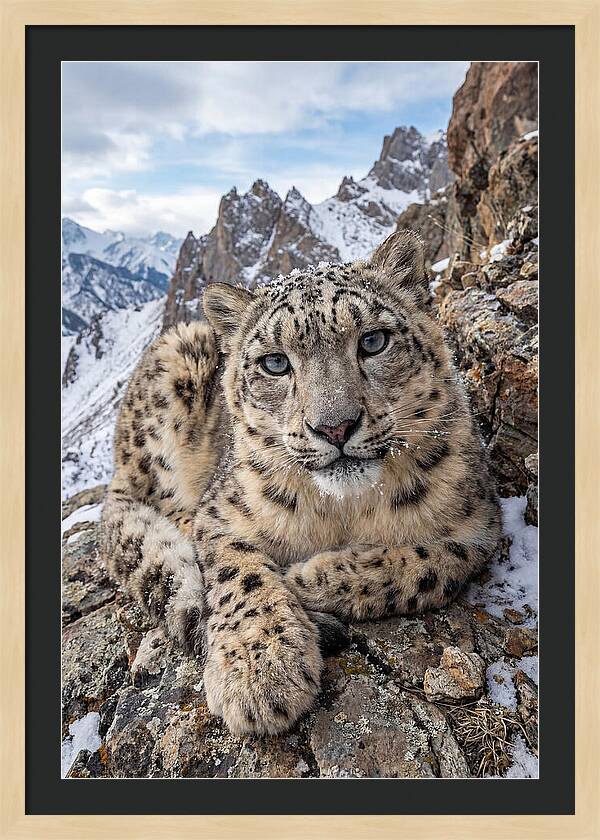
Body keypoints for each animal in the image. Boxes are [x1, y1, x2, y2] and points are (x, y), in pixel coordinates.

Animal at [100, 230, 501, 736]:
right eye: (275, 363)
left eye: (373, 341)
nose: (335, 427)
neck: (343, 511)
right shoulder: (221, 514)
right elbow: (239, 574)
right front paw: (260, 671)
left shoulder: (479, 524)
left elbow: (429, 564)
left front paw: (307, 578)